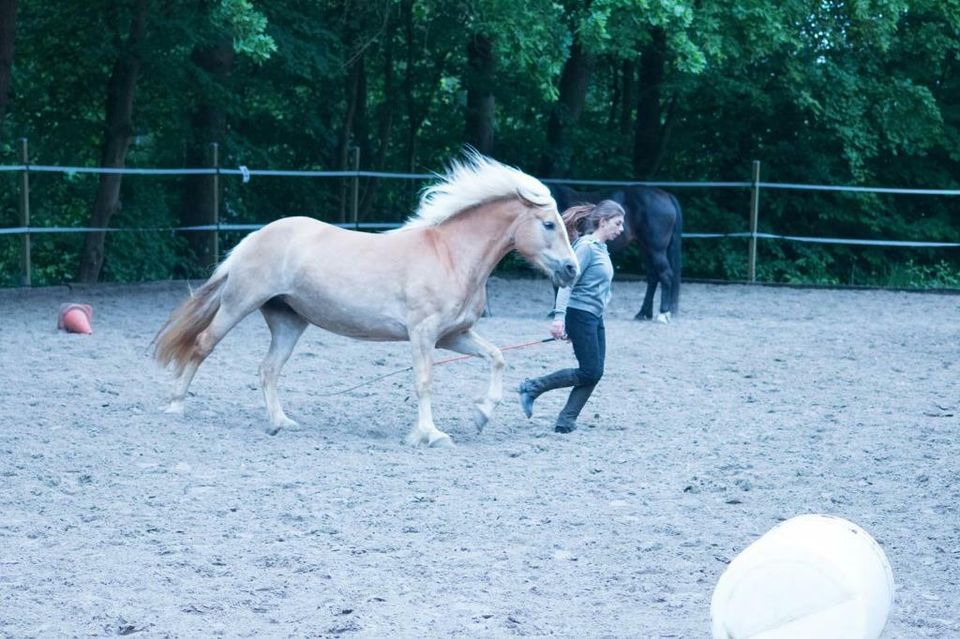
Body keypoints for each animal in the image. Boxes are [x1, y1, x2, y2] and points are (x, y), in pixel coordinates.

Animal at [154, 153, 580, 448]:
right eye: (548, 224)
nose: (572, 269)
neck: (450, 256)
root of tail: (255, 237)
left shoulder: (453, 336)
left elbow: (496, 357)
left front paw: (481, 415)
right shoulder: (423, 334)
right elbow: (425, 381)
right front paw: (431, 434)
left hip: (289, 321)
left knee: (268, 369)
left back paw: (281, 422)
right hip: (238, 304)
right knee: (203, 344)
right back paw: (175, 405)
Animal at [548, 185, 684, 324]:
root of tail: (666, 195)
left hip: (656, 250)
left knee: (665, 275)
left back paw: (663, 313)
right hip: (645, 249)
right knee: (653, 277)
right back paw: (643, 313)